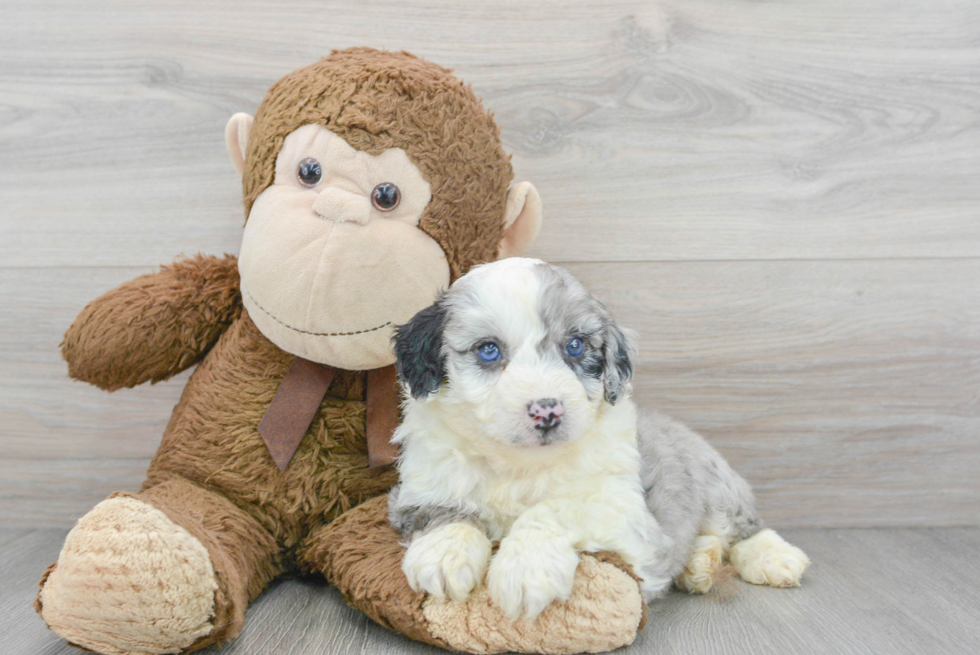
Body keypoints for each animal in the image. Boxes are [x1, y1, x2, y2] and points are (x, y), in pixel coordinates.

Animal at [386, 258, 808, 620]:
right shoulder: (416, 490)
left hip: (717, 485)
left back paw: (774, 558)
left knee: (744, 528)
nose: (547, 411)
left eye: (575, 346)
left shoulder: (627, 514)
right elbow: (447, 511)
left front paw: (526, 568)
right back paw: (699, 563)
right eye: (488, 350)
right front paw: (444, 555)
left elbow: (556, 507)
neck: (520, 464)